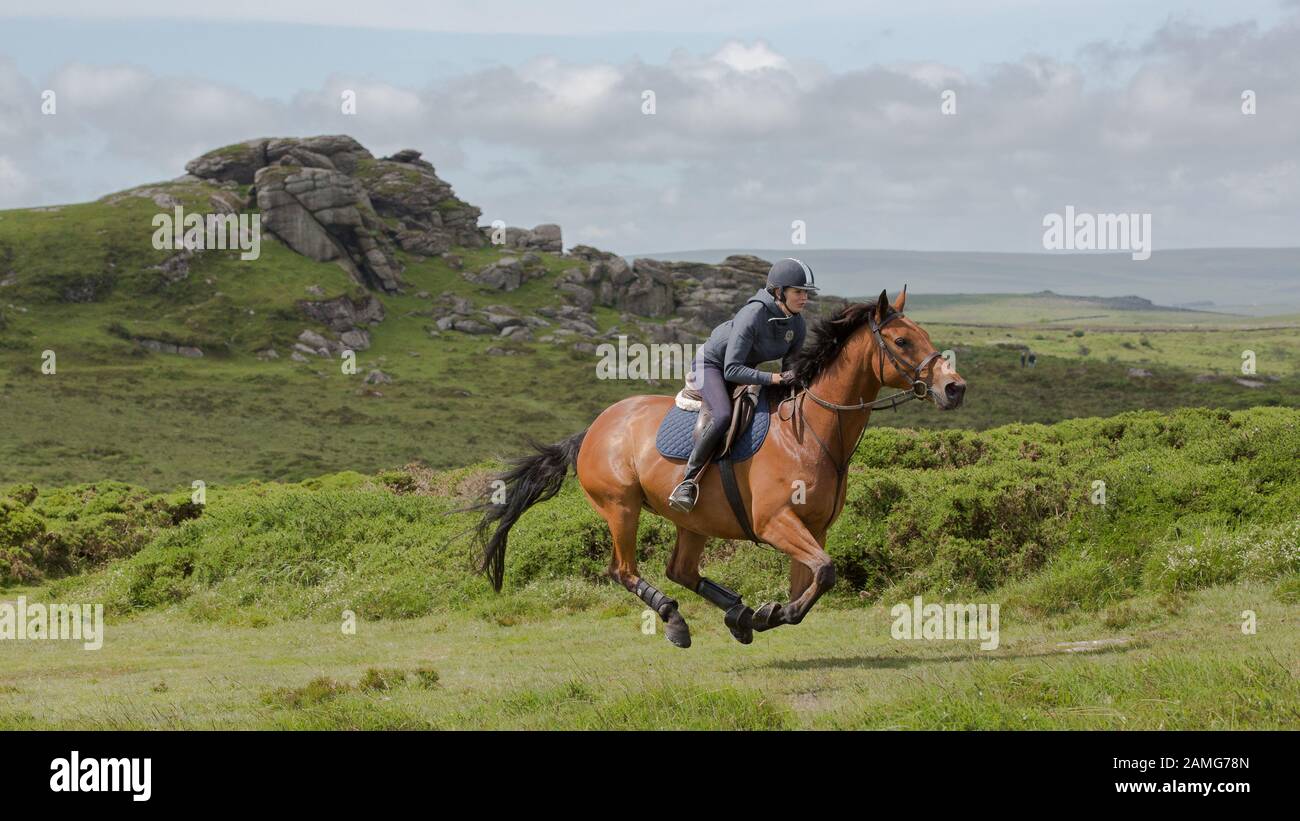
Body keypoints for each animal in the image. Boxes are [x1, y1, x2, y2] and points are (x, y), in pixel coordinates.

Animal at [464, 288, 966, 647]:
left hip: (694, 521)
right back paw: (675, 621)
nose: (955, 388)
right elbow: (824, 573)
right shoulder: (774, 521)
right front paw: (768, 615)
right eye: (902, 341)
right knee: (624, 570)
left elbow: (812, 581)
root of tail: (591, 430)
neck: (810, 433)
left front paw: (765, 614)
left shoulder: (814, 528)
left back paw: (735, 614)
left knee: (681, 570)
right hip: (620, 508)